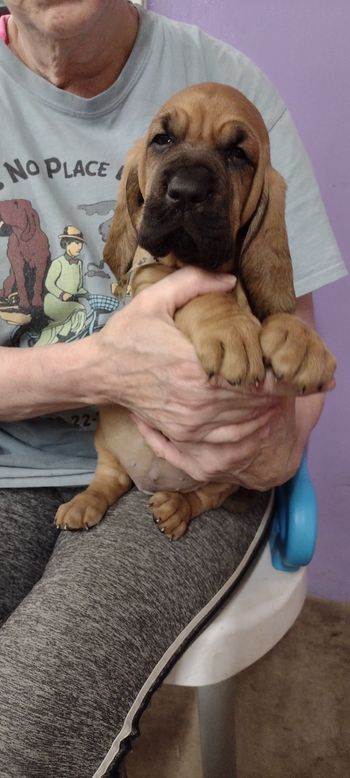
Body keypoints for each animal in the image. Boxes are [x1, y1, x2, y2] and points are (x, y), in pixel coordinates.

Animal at [55, 82, 336, 536]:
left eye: (238, 154)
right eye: (162, 140)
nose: (186, 191)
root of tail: (150, 482)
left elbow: (277, 313)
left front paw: (303, 342)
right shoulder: (151, 278)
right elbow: (202, 295)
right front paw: (228, 328)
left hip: (227, 473)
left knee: (205, 495)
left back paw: (175, 507)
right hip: (107, 440)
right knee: (109, 478)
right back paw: (84, 504)